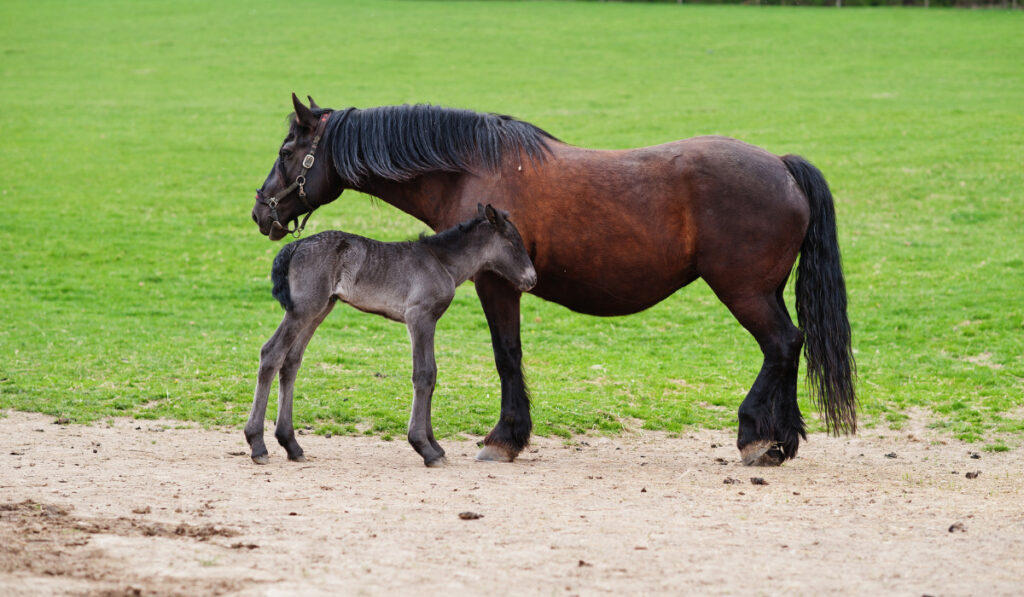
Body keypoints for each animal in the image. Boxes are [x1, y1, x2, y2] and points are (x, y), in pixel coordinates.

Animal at [249, 93, 856, 466]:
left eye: (286, 150)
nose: (261, 211)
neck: (470, 167)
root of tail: (781, 166)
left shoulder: (496, 284)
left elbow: (506, 355)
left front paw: (503, 439)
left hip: (744, 292)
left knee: (782, 344)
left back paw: (756, 436)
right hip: (764, 292)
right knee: (790, 346)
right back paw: (783, 439)